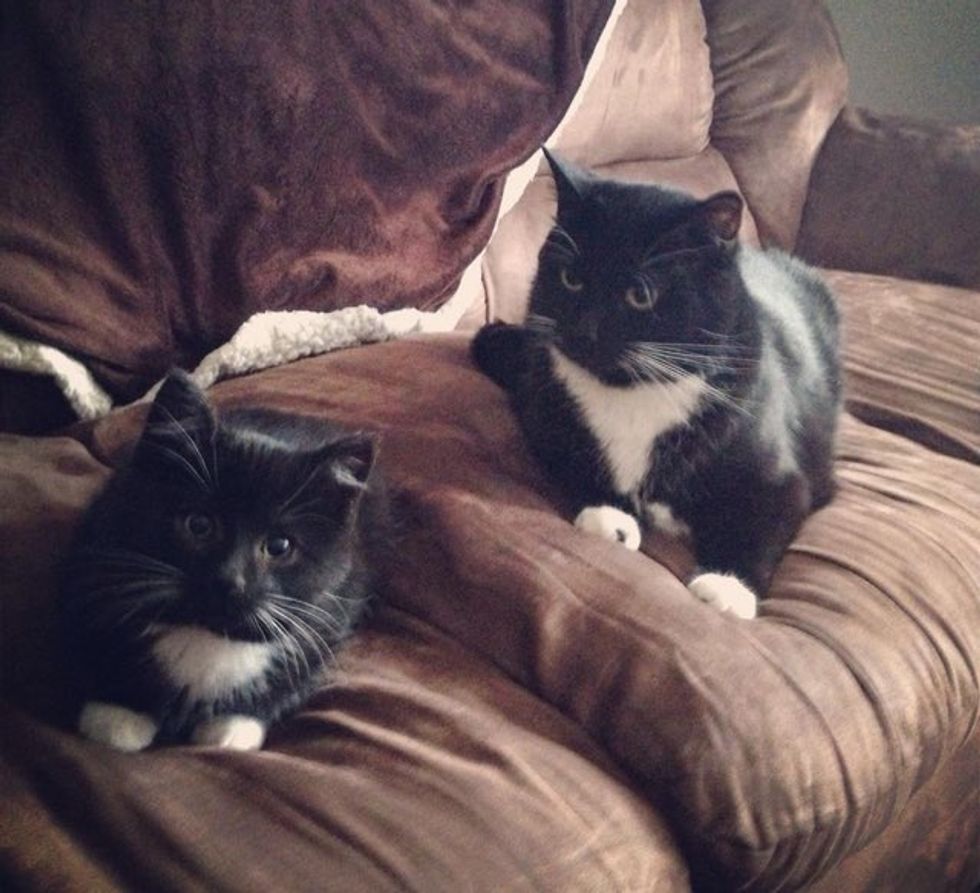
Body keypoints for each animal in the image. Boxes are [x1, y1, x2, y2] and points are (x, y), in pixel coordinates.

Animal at [60, 370, 388, 751]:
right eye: (199, 525)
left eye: (279, 546)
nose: (229, 579)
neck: (208, 630)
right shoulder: (96, 545)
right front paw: (117, 713)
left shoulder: (331, 611)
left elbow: (302, 669)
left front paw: (233, 725)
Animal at [472, 150, 841, 619]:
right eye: (571, 279)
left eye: (640, 296)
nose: (584, 331)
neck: (634, 393)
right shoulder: (546, 416)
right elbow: (571, 459)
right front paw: (608, 516)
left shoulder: (784, 477)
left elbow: (765, 519)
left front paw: (728, 587)